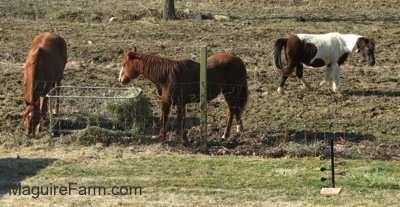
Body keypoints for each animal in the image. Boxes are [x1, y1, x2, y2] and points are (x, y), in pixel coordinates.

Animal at [119, 47, 247, 144]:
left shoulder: (178, 103)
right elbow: (165, 118)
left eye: (124, 64)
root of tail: (239, 61)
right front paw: (162, 137)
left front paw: (183, 140)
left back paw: (225, 135)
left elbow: (179, 120)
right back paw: (238, 129)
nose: (120, 80)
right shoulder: (168, 102)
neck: (167, 75)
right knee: (236, 110)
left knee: (231, 111)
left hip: (231, 94)